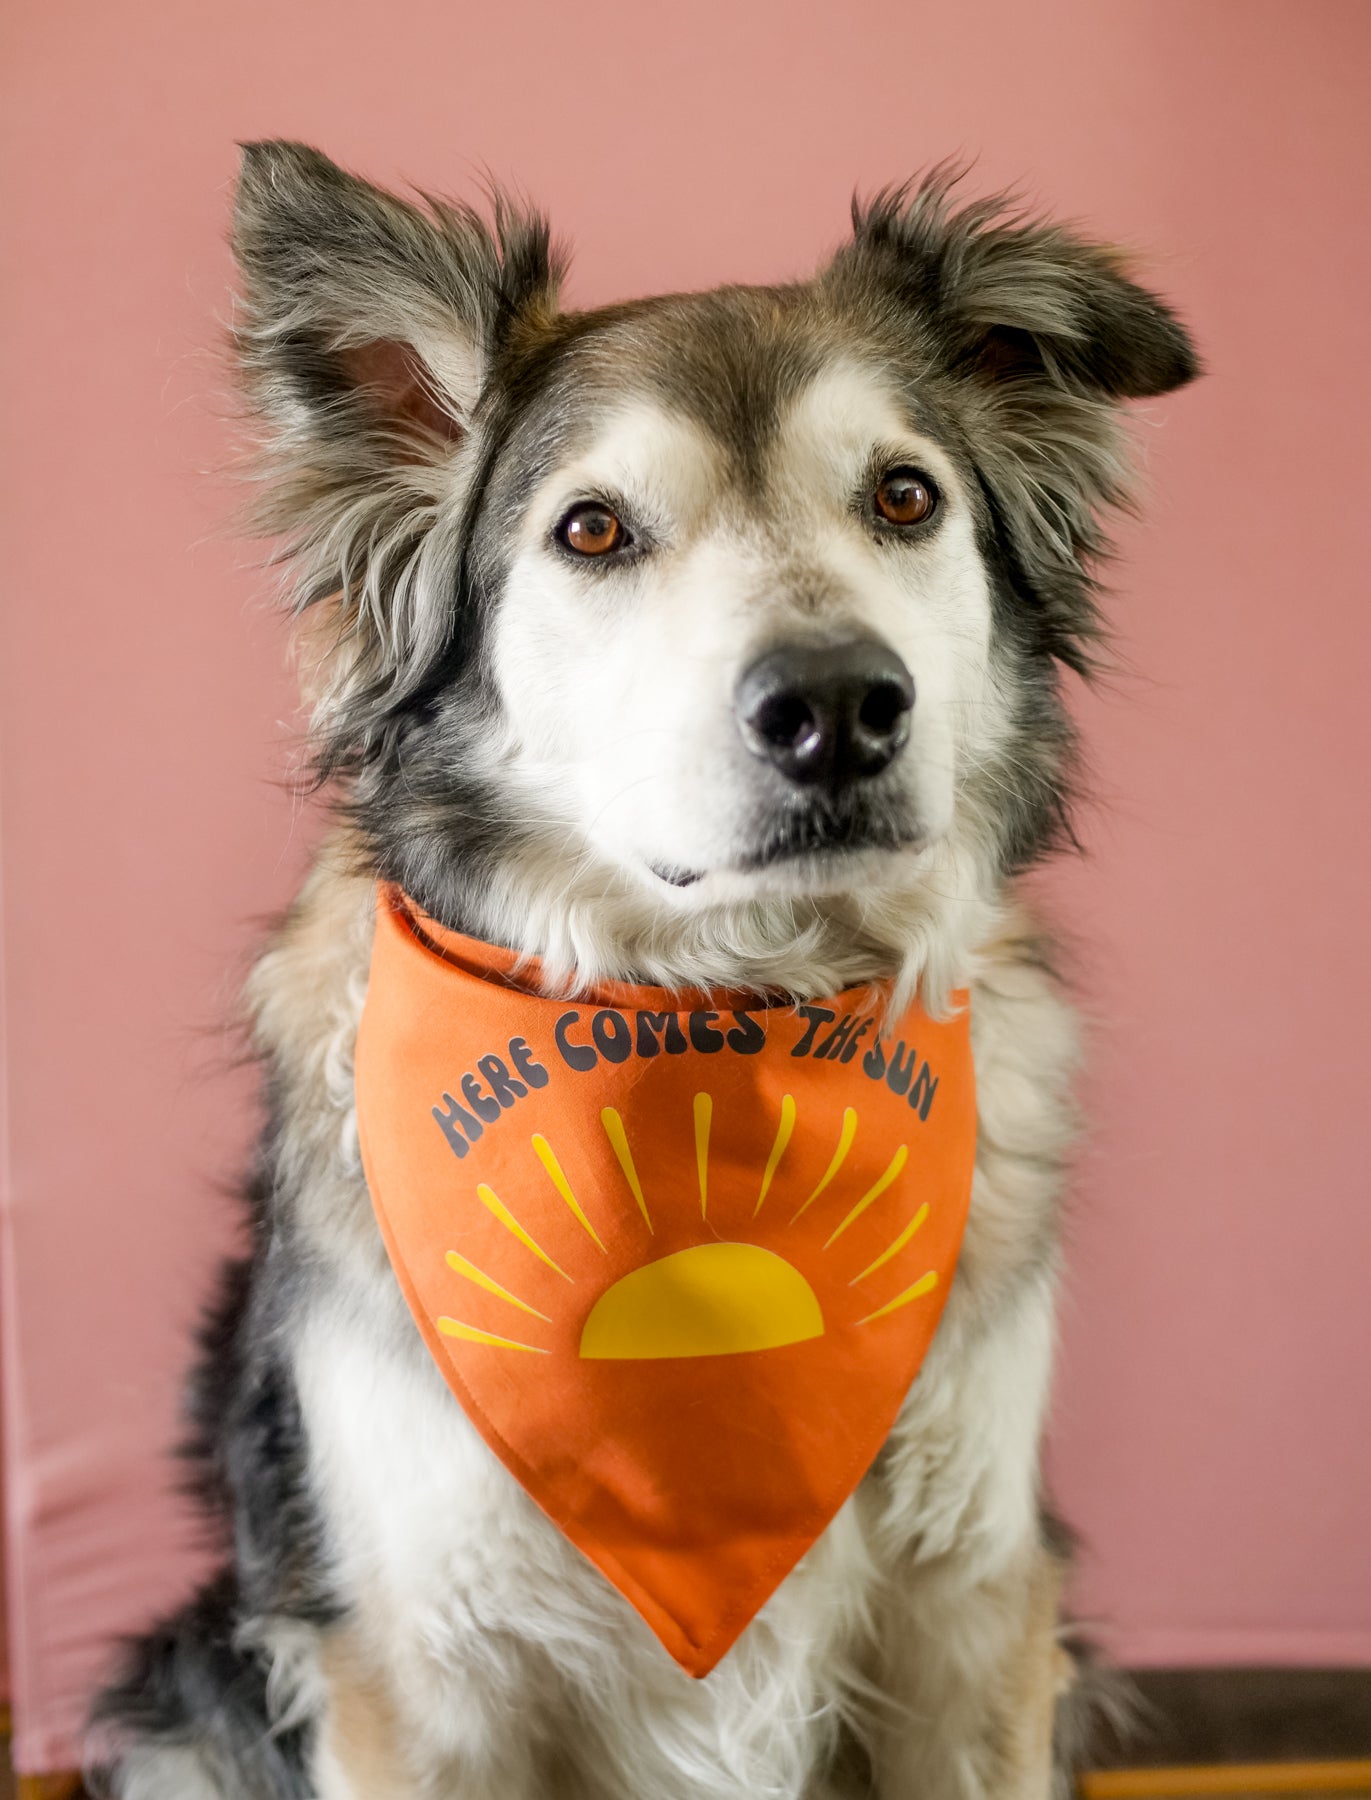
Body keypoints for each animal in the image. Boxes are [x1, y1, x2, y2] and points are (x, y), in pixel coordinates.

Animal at [90, 144, 1194, 1800]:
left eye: (904, 497)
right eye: (592, 532)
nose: (837, 708)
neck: (715, 1022)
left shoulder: (970, 1616)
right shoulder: (411, 1667)